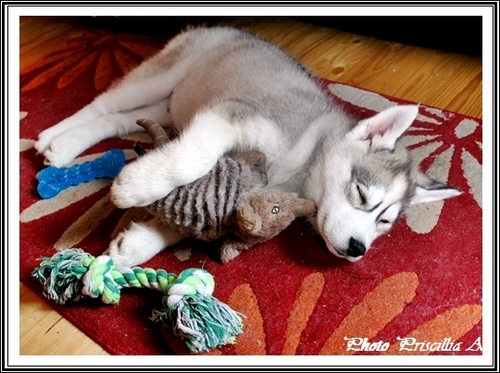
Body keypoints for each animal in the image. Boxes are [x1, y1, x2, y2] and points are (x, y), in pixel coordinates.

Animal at [34, 26, 460, 266]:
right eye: (361, 195)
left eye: (384, 224)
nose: (358, 249)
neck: (305, 162)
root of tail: (231, 28)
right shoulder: (231, 115)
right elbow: (194, 159)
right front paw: (138, 185)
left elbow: (199, 216)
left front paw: (139, 245)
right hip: (164, 73)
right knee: (103, 104)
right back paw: (53, 139)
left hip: (169, 105)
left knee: (117, 119)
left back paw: (66, 144)